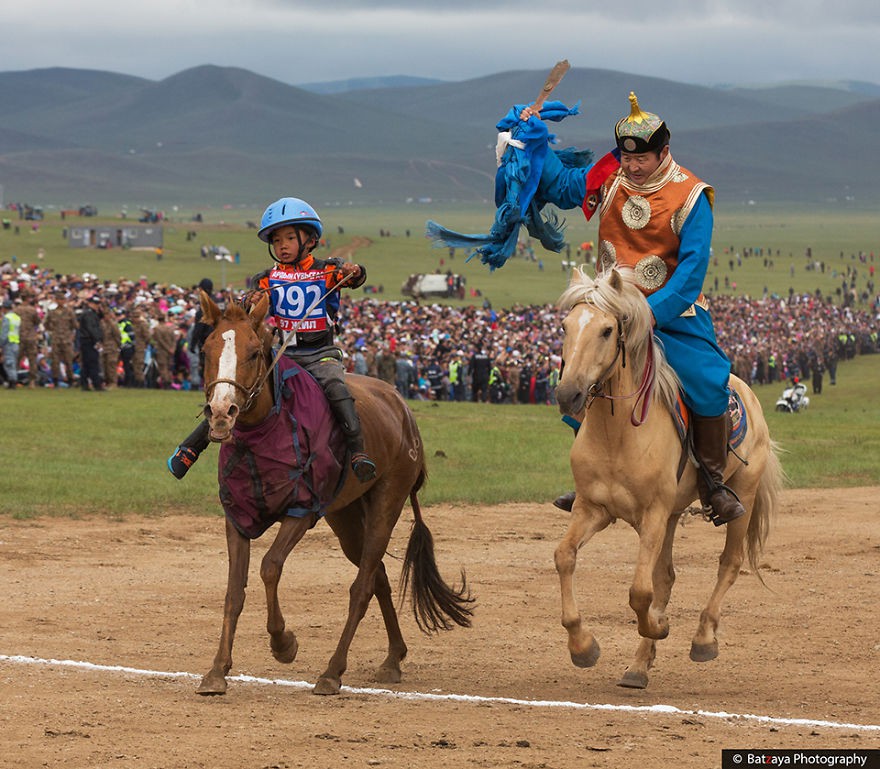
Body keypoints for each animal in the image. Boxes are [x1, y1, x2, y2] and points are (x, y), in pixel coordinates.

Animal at [195, 290, 470, 696]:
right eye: (206, 349)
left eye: (254, 353)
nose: (220, 412)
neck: (267, 431)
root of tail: (402, 408)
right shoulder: (238, 517)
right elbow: (234, 592)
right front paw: (217, 671)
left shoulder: (302, 511)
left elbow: (270, 568)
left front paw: (283, 643)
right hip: (346, 516)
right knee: (378, 576)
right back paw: (393, 658)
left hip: (386, 502)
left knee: (362, 587)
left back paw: (332, 671)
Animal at [552, 266, 780, 688]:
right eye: (565, 326)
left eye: (606, 330)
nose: (568, 394)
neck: (617, 433)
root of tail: (747, 392)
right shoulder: (593, 509)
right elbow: (565, 557)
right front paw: (583, 646)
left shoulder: (653, 514)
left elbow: (640, 592)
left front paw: (658, 626)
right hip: (672, 515)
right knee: (666, 577)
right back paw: (639, 666)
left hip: (742, 494)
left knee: (729, 562)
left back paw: (703, 638)